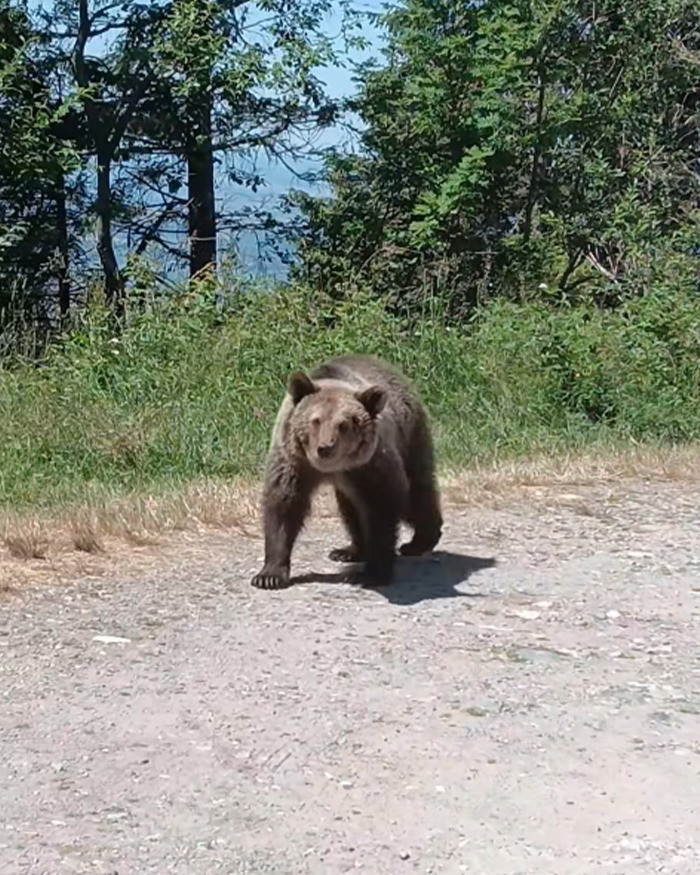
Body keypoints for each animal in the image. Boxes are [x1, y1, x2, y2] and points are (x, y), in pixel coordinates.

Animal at [250, 354, 443, 590]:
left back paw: (420, 541)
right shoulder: (293, 461)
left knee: (416, 492)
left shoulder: (371, 465)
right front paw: (269, 575)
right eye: (316, 420)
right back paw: (348, 551)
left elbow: (382, 509)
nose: (325, 447)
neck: (330, 469)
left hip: (409, 436)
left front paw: (373, 573)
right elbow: (283, 505)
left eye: (344, 424)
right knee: (351, 508)